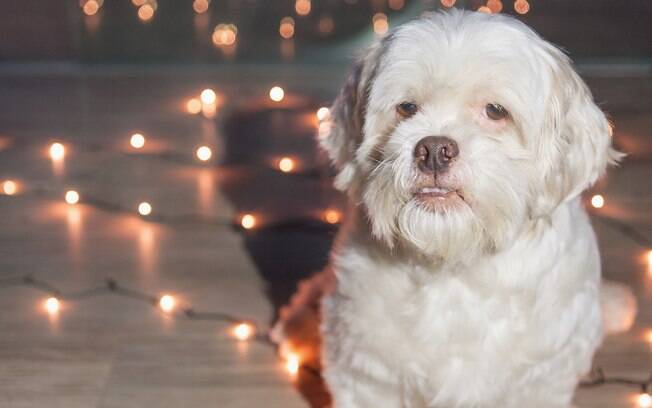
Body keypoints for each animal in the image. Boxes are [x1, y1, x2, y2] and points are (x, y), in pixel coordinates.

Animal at [272, 9, 636, 408]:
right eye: (407, 107)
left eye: (496, 111)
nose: (433, 150)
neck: (454, 261)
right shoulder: (368, 372)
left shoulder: (539, 379)